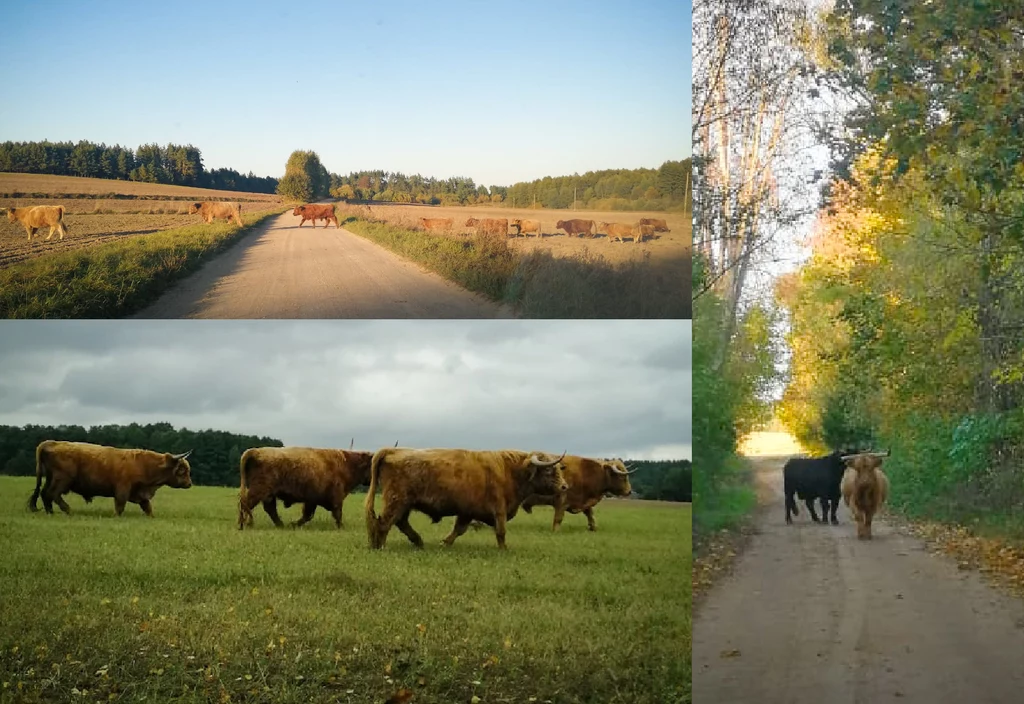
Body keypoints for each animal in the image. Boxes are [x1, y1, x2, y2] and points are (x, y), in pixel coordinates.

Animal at [27, 440, 192, 517]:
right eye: (182, 470)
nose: (189, 484)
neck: (145, 465)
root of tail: (51, 442)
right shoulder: (123, 490)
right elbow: (120, 506)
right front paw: (116, 517)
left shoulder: (141, 494)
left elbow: (148, 508)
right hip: (62, 480)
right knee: (53, 494)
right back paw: (68, 510)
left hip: (50, 478)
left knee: (45, 494)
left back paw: (51, 513)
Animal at [235, 446, 372, 528]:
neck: (347, 464)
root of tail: (256, 451)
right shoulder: (336, 497)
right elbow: (337, 513)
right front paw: (341, 527)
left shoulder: (312, 500)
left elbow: (307, 515)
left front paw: (294, 524)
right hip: (259, 491)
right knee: (246, 504)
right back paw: (242, 525)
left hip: (268, 494)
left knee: (269, 509)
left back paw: (281, 525)